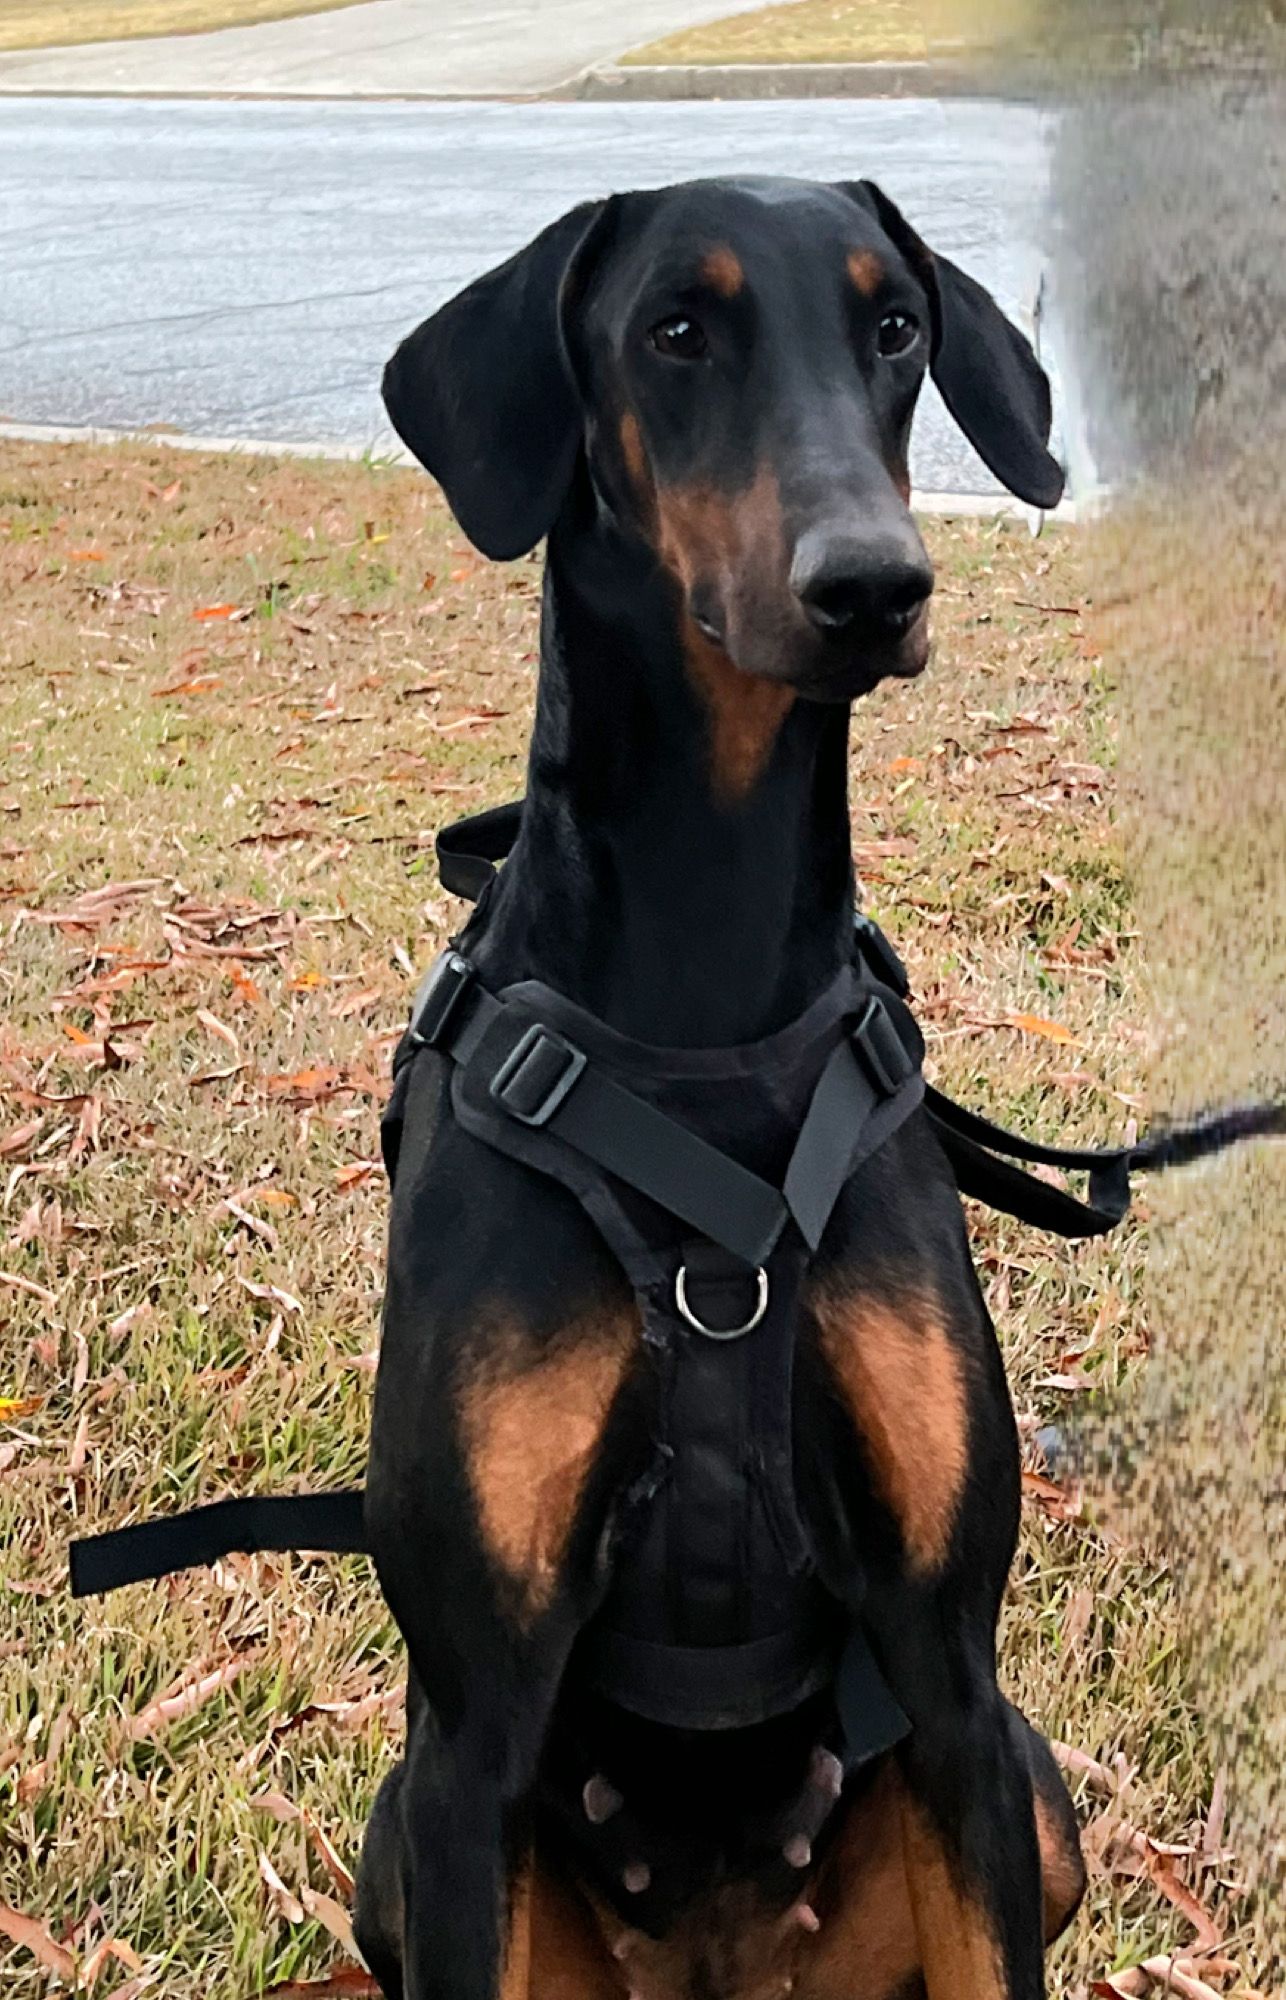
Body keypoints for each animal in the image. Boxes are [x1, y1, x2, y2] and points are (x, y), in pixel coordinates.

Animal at [355, 175, 1086, 2000]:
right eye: (675, 330)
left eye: (894, 326)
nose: (873, 585)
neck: (704, 983)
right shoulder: (469, 1745)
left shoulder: (954, 1683)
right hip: (396, 1838)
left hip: (1036, 1800)